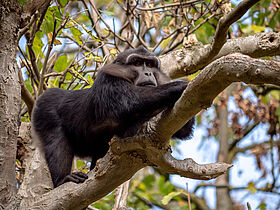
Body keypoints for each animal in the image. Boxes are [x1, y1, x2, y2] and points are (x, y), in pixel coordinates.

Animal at [32, 46, 195, 187]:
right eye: (136, 63)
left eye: (149, 64)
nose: (148, 73)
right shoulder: (108, 78)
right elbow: (128, 103)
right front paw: (179, 86)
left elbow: (183, 130)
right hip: (45, 109)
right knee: (56, 138)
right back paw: (62, 179)